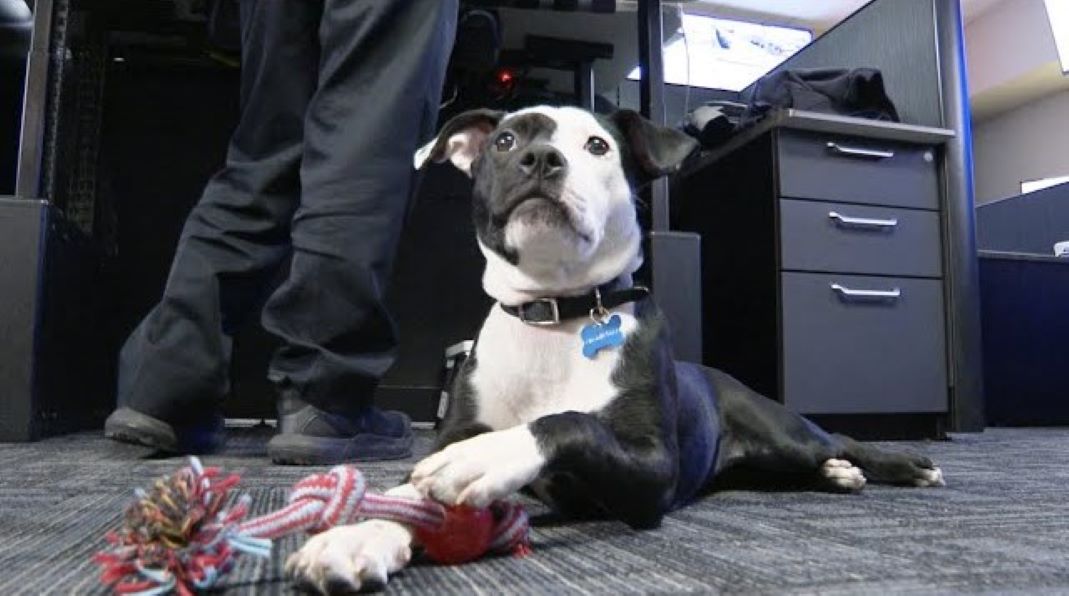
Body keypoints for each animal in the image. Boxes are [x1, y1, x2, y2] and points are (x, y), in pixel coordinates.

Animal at [286, 106, 944, 593]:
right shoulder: (453, 433)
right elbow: (404, 494)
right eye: (504, 140)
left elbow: (569, 421)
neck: (555, 314)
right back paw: (837, 476)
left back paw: (901, 464)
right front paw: (360, 534)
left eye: (598, 145)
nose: (540, 159)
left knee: (839, 437)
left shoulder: (651, 468)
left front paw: (487, 458)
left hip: (782, 433)